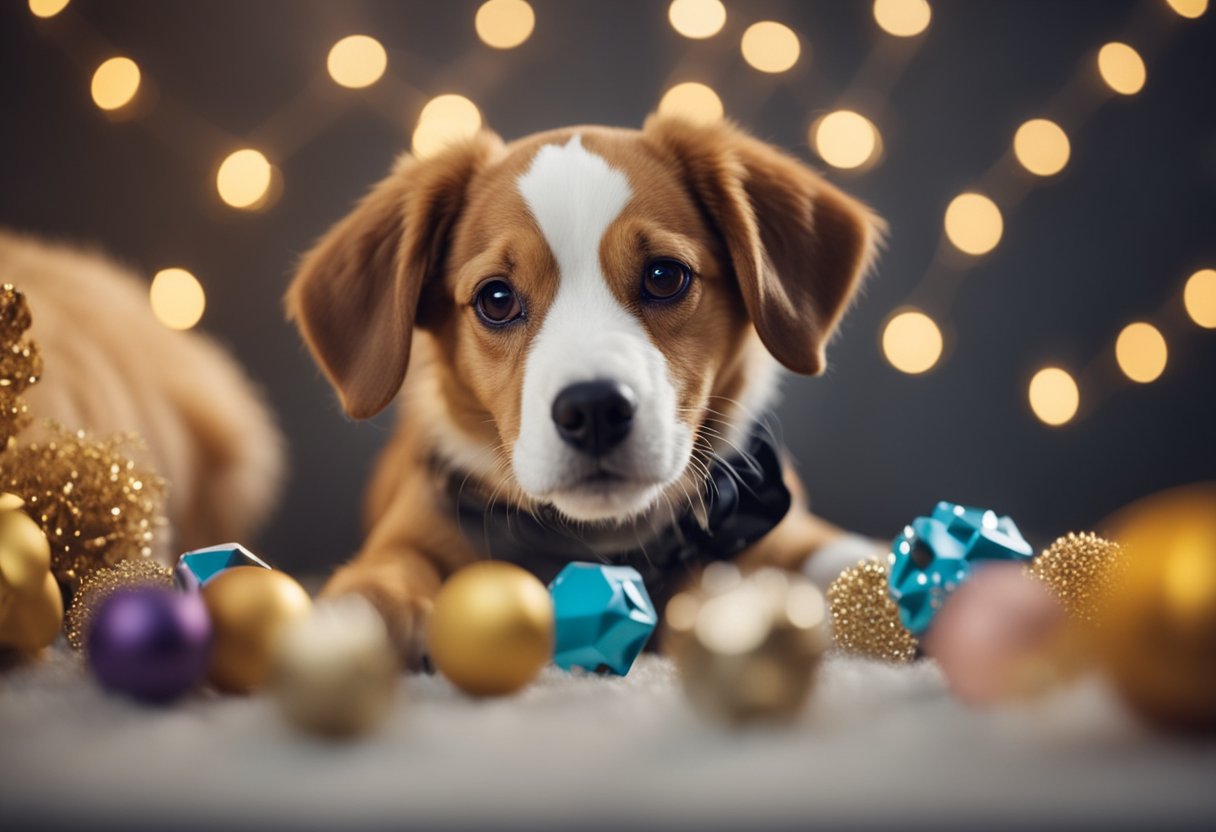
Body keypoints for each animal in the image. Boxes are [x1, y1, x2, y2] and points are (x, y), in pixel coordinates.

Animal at [290, 115, 890, 661]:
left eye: (664, 277)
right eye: (496, 299)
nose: (595, 409)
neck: (600, 543)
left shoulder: (781, 524)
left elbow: (844, 555)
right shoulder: (412, 529)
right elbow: (377, 580)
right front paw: (357, 625)